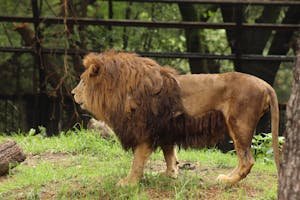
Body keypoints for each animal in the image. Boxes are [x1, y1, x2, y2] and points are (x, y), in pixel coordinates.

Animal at [71, 50, 280, 186]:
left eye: (82, 81)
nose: (72, 93)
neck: (120, 91)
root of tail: (265, 84)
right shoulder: (166, 128)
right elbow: (169, 154)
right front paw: (170, 174)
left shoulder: (145, 131)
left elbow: (137, 161)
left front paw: (129, 182)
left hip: (239, 124)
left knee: (247, 160)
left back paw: (227, 180)